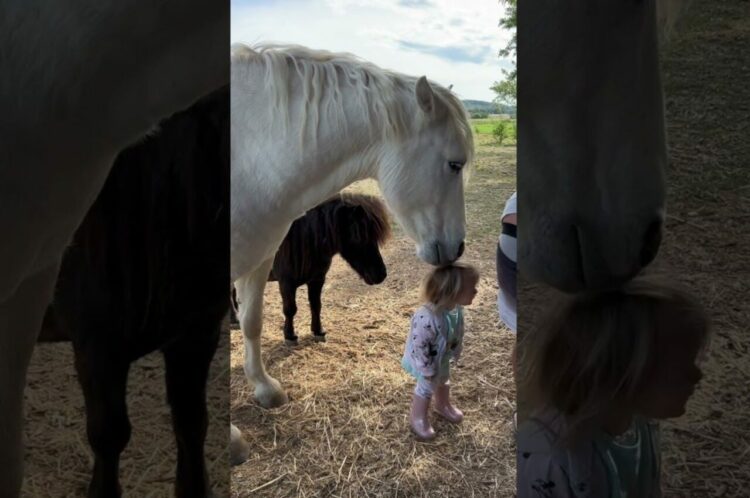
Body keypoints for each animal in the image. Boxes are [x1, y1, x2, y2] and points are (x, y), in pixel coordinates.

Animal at [229, 44, 474, 462]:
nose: (457, 247)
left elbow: (253, 322)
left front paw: (264, 388)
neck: (248, 156)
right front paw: (230, 438)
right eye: (454, 164)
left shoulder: (259, 260)